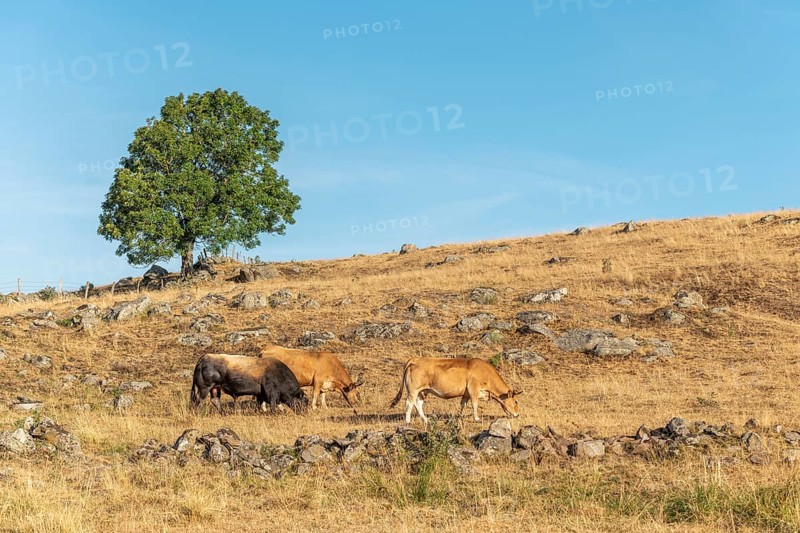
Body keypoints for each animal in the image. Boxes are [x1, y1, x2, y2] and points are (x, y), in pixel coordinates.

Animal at [389, 357, 522, 424]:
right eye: (516, 402)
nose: (517, 414)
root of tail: (415, 359)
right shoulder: (473, 389)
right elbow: (474, 404)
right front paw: (477, 419)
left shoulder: (466, 394)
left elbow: (463, 405)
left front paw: (460, 417)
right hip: (413, 390)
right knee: (409, 403)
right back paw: (408, 421)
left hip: (423, 391)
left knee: (418, 404)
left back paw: (425, 419)